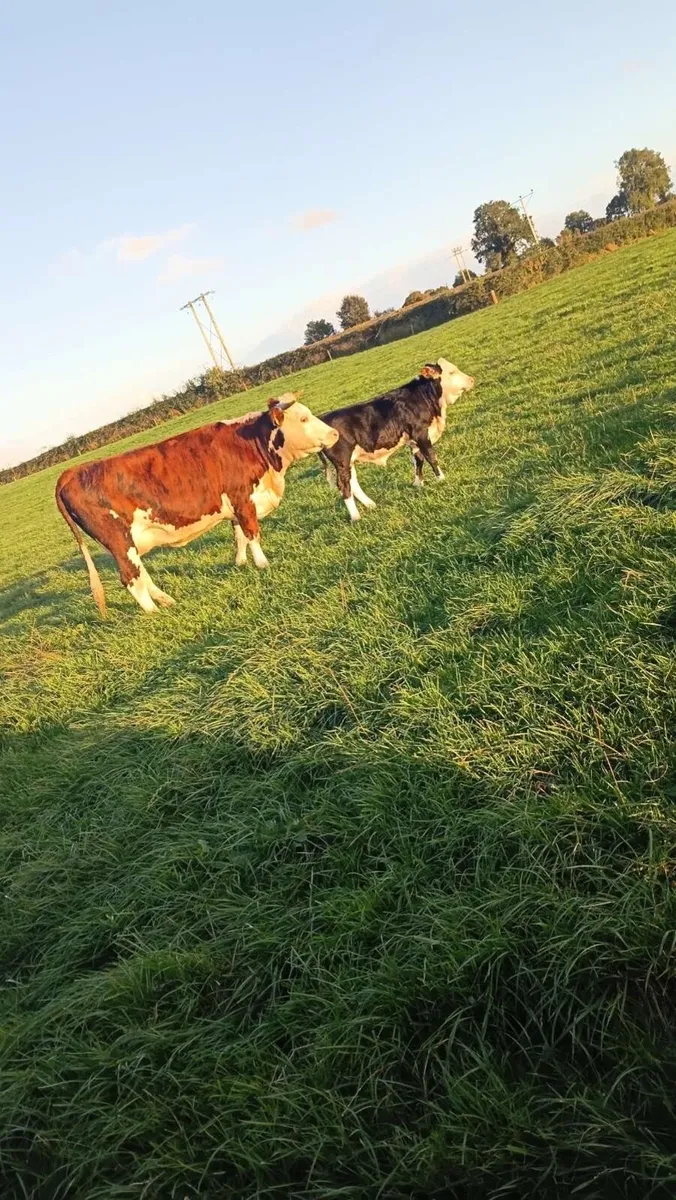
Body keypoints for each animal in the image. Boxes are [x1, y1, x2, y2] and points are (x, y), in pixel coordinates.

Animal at [55, 393, 339, 616]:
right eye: (303, 419)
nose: (335, 433)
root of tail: (70, 472)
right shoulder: (243, 499)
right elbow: (252, 534)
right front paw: (262, 564)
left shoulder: (235, 507)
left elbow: (239, 536)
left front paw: (240, 563)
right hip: (118, 540)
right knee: (130, 578)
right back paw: (154, 612)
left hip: (127, 543)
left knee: (140, 572)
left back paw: (165, 600)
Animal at [318, 358, 475, 521]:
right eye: (451, 372)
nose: (472, 380)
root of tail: (322, 418)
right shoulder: (421, 433)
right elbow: (431, 457)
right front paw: (441, 479)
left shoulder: (414, 440)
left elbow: (418, 460)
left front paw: (418, 484)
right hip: (342, 459)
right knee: (344, 485)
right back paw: (356, 517)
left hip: (349, 460)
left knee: (352, 481)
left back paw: (370, 504)